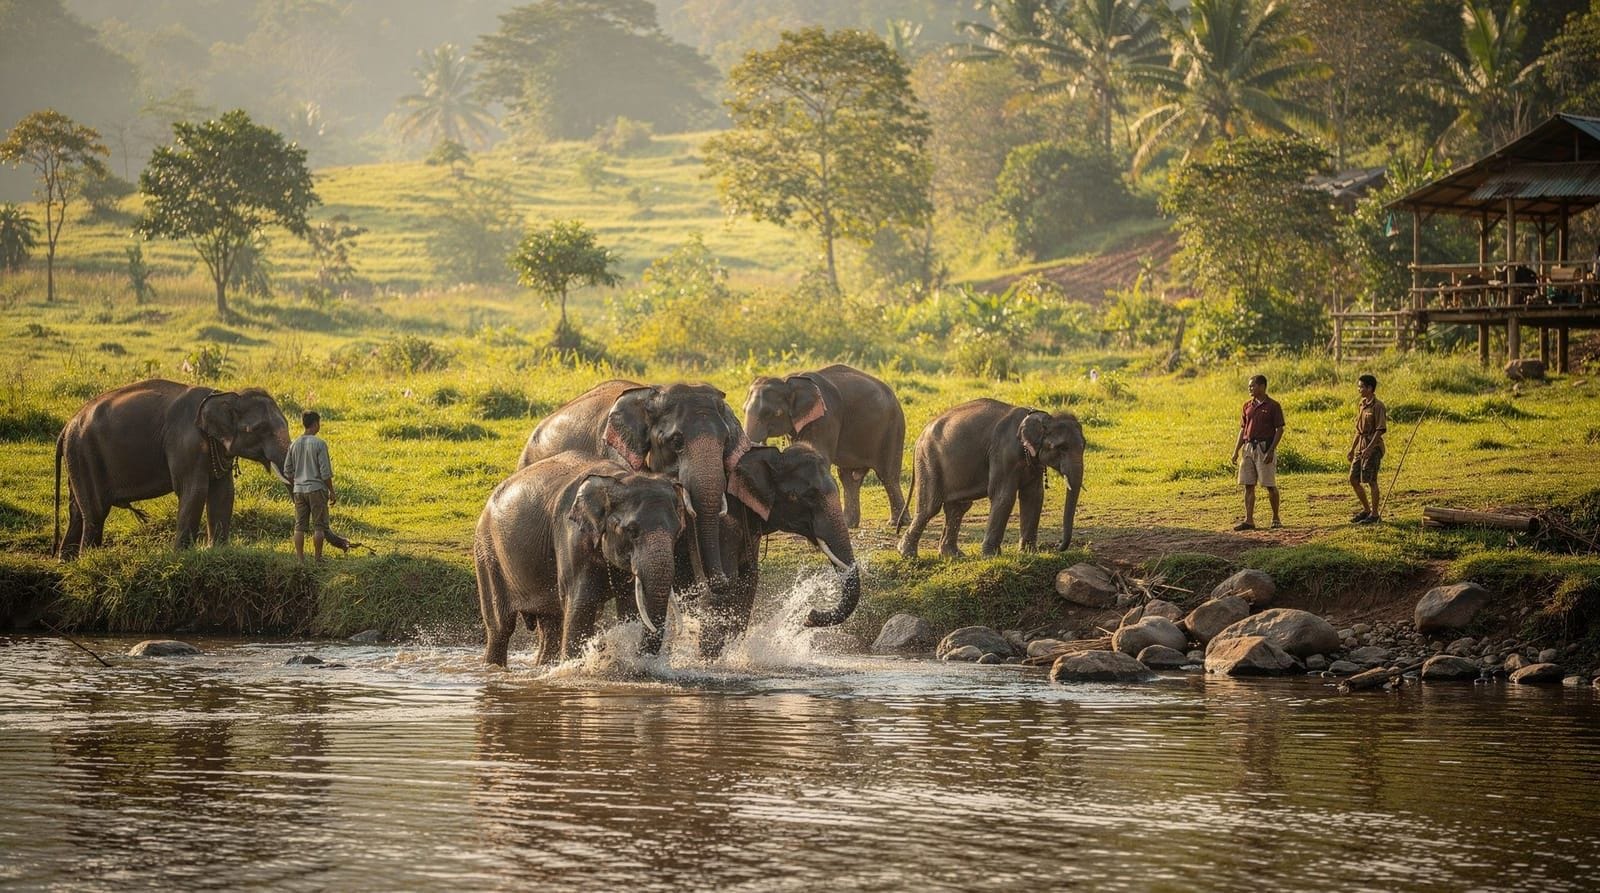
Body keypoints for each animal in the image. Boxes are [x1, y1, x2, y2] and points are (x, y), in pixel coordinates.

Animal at [54, 379, 292, 558]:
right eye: (258, 429)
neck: (224, 395)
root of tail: (66, 427)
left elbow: (223, 492)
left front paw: (217, 551)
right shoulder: (185, 443)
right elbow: (194, 490)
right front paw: (181, 555)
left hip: (78, 458)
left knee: (77, 511)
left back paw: (67, 562)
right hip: (85, 453)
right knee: (95, 512)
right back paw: (88, 559)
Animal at [475, 453, 689, 667]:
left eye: (678, 532)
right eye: (632, 531)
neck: (617, 478)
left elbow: (630, 603)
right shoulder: (571, 535)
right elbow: (581, 604)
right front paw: (574, 667)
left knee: (550, 624)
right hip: (487, 553)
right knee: (501, 627)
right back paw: (492, 666)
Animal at [684, 442, 861, 657]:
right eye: (803, 497)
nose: (809, 616)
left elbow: (748, 584)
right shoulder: (723, 519)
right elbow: (723, 589)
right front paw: (710, 660)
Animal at [742, 363, 907, 528]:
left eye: (774, 413)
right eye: (744, 410)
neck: (787, 380)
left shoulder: (825, 417)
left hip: (893, 428)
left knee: (887, 475)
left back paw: (896, 523)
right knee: (849, 478)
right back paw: (849, 523)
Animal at [897, 399, 1084, 558]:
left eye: (1084, 446)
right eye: (1061, 448)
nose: (1058, 547)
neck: (1041, 417)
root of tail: (920, 436)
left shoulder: (1033, 462)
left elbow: (1034, 496)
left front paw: (1030, 553)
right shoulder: (1002, 453)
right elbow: (1003, 496)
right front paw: (991, 556)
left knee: (958, 507)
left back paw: (953, 556)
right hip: (929, 460)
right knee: (931, 506)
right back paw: (907, 554)